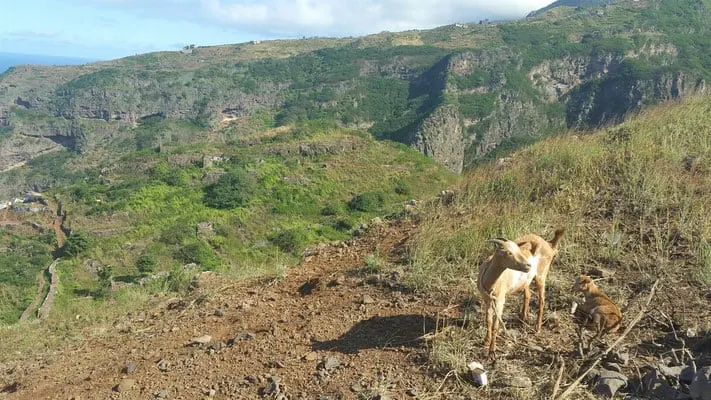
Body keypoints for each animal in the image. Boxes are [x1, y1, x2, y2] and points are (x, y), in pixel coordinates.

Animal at [478, 228, 568, 356]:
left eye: (517, 249)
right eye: (509, 253)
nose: (528, 265)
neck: (490, 282)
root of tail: (549, 244)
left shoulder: (500, 301)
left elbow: (496, 325)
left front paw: (492, 350)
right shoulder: (487, 299)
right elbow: (488, 321)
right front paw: (486, 342)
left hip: (541, 276)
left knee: (542, 301)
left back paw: (537, 328)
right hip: (527, 281)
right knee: (528, 295)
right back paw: (523, 317)